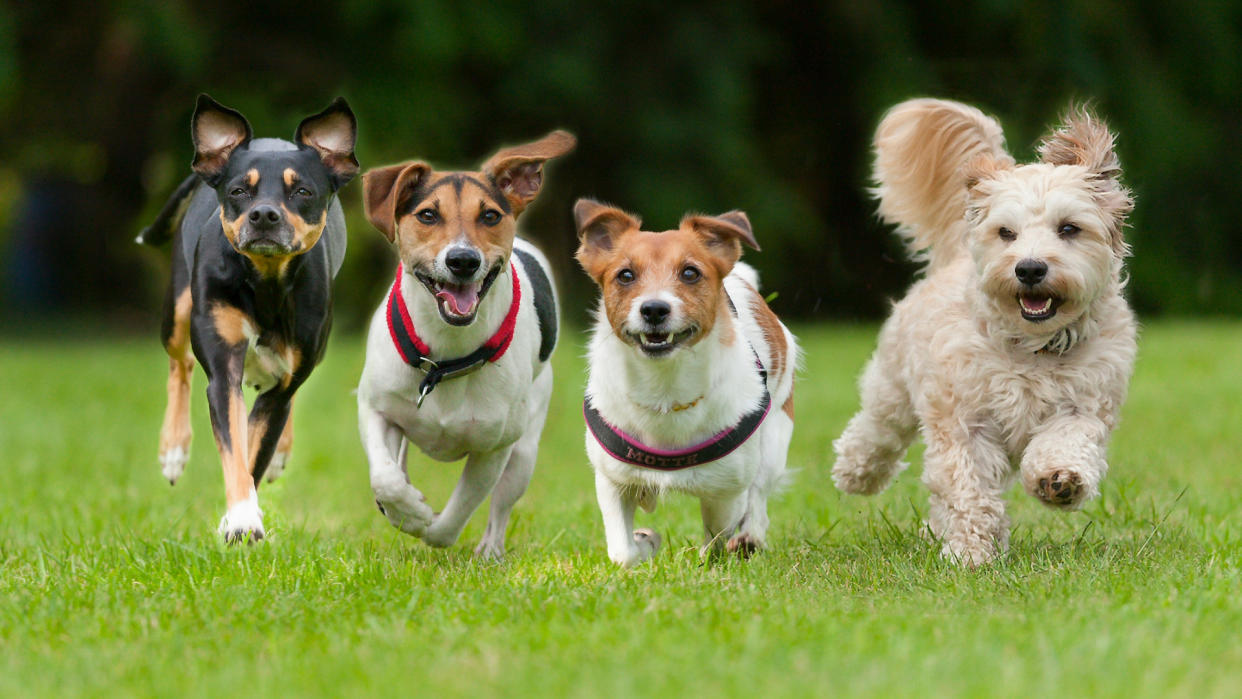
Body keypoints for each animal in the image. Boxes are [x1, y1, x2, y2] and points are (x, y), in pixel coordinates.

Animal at [139, 94, 360, 541]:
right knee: (179, 365)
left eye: (303, 191)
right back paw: (174, 448)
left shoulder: (283, 384)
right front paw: (241, 517)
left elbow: (256, 451)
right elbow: (235, 449)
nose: (264, 215)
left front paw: (241, 515)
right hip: (178, 310)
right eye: (239, 190)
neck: (266, 283)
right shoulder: (223, 370)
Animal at [357, 129, 573, 558]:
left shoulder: (494, 448)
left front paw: (426, 523)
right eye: (427, 215)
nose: (463, 260)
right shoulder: (374, 407)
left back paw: (490, 551)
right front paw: (407, 509)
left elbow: (454, 516)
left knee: (502, 505)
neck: (444, 359)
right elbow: (385, 477)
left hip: (524, 449)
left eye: (489, 215)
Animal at [571, 198, 794, 568]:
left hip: (775, 437)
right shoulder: (612, 481)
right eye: (625, 275)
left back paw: (750, 537)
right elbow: (622, 552)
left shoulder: (725, 491)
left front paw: (710, 555)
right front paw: (644, 543)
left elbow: (718, 533)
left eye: (690, 273)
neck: (664, 388)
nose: (654, 309)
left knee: (759, 494)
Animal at [829, 99, 1137, 568]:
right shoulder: (964, 420)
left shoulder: (1086, 404)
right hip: (895, 385)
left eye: (1069, 228)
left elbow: (1067, 441)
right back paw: (857, 471)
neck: (1032, 349)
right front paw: (971, 553)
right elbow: (967, 487)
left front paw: (1059, 479)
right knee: (878, 428)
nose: (1029, 268)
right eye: (1006, 233)